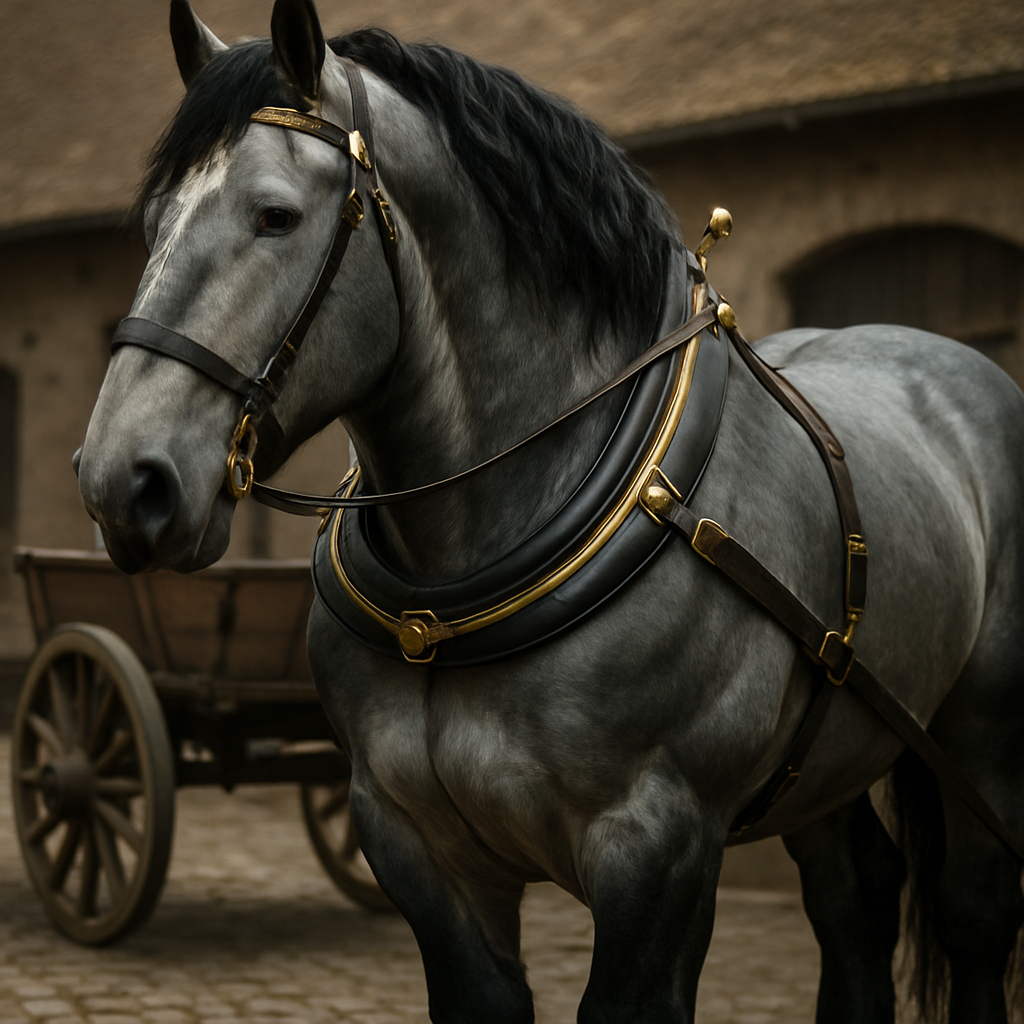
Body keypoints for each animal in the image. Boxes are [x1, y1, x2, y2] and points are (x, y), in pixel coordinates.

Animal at [75, 0, 1024, 1020]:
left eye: (275, 216)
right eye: (152, 222)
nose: (122, 479)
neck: (456, 585)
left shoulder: (659, 850)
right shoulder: (416, 845)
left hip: (980, 742)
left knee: (973, 916)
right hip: (827, 761)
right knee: (856, 902)